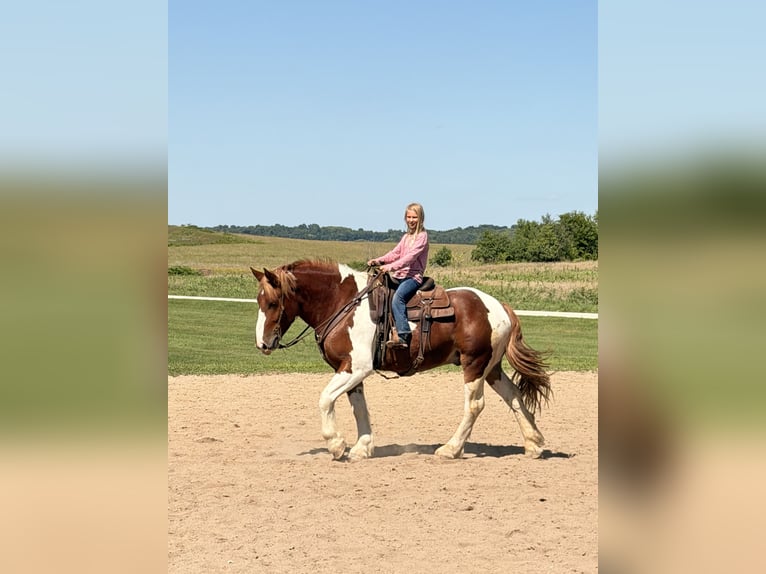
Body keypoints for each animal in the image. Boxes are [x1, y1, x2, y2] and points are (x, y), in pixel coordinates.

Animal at [251, 259, 551, 461]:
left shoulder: (356, 367)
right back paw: (534, 444)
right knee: (514, 396)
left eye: (273, 303)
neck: (342, 303)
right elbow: (359, 408)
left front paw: (336, 445)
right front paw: (362, 448)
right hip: (491, 368)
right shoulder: (350, 370)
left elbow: (325, 399)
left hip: (474, 364)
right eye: (259, 300)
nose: (262, 344)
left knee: (475, 405)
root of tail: (499, 306)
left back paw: (450, 449)